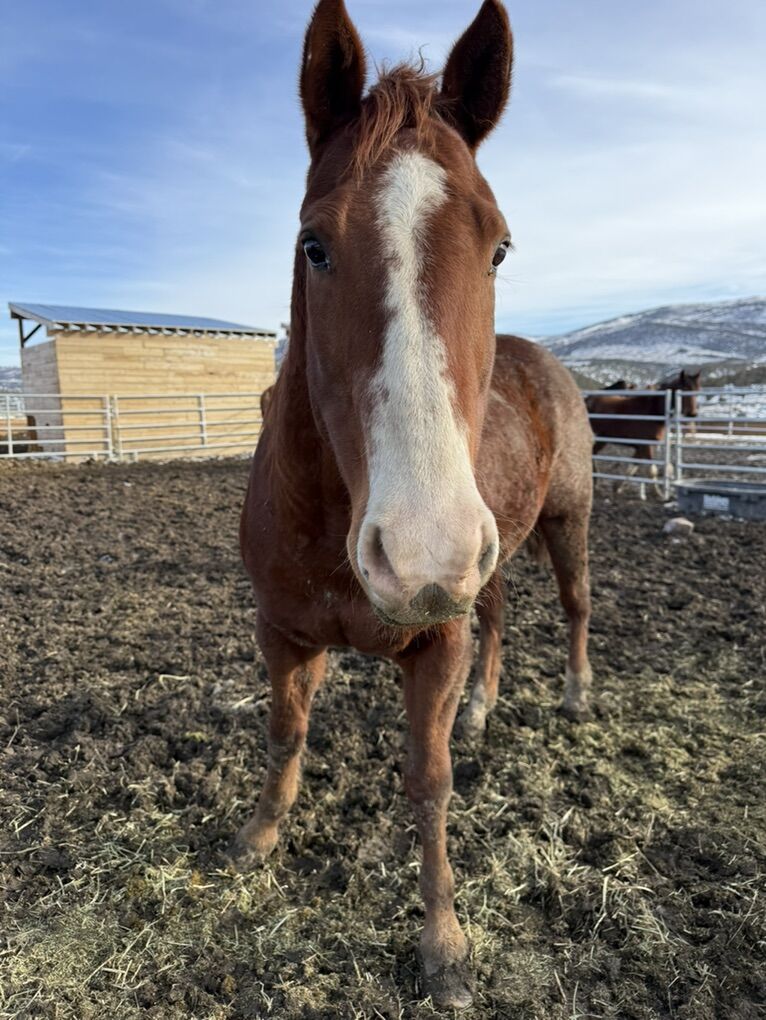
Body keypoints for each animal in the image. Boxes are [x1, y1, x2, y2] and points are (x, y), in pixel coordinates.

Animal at [234, 0, 593, 1007]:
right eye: (314, 245)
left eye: (499, 245)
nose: (424, 555)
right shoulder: (283, 630)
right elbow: (285, 732)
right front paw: (260, 838)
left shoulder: (436, 640)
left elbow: (428, 783)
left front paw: (444, 944)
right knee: (501, 614)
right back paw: (483, 707)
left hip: (559, 526)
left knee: (573, 605)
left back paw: (575, 694)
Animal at [586, 369, 701, 498]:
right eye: (684, 388)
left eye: (697, 389)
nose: (693, 414)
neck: (653, 411)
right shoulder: (646, 446)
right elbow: (652, 471)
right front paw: (659, 494)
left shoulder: (641, 447)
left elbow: (632, 467)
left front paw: (618, 487)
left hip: (603, 439)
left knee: (593, 453)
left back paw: (595, 481)